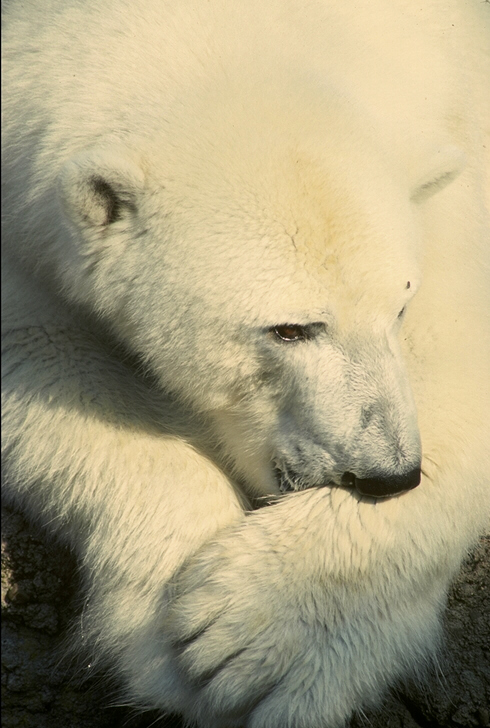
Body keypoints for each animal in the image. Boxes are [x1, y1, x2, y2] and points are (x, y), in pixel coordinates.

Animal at [0, 1, 490, 728]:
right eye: (289, 328)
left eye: (399, 306)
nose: (388, 473)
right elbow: (37, 344)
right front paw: (166, 628)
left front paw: (261, 636)